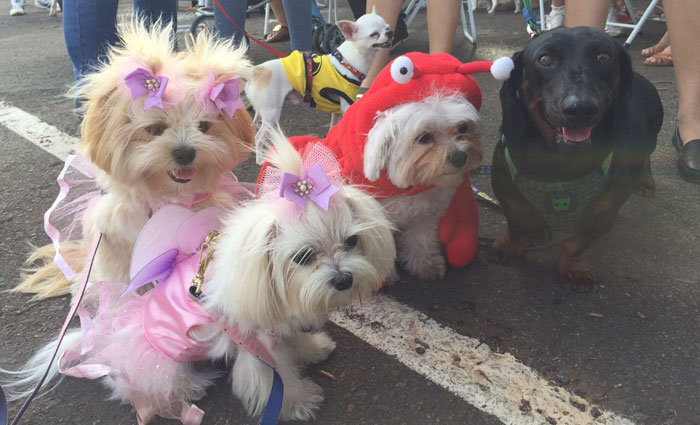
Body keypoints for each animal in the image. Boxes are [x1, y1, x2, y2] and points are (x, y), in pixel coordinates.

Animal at [2, 131, 394, 422]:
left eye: (352, 241)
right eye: (303, 257)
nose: (343, 279)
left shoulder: (276, 323)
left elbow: (293, 340)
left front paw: (313, 347)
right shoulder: (254, 345)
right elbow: (274, 378)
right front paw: (299, 402)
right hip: (164, 357)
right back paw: (188, 387)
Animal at [15, 19, 254, 298]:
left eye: (204, 126)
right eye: (155, 129)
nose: (185, 152)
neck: (163, 197)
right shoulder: (115, 240)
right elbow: (121, 279)